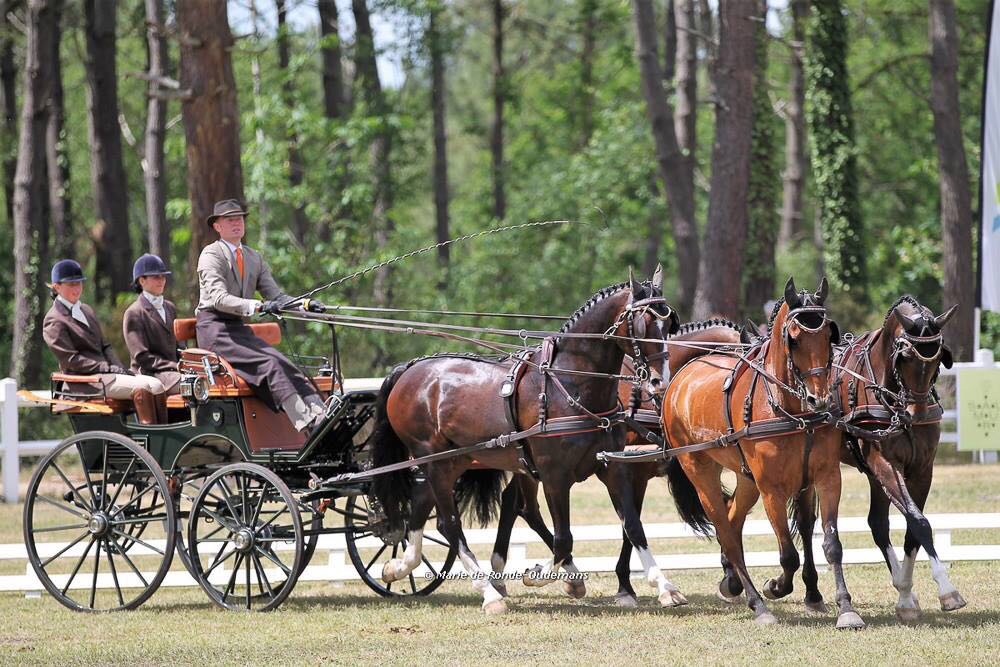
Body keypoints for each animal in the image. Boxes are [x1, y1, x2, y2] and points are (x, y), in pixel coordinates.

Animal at [370, 268, 688, 616]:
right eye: (643, 325)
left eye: (669, 325)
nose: (660, 381)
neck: (571, 385)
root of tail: (409, 370)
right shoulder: (554, 477)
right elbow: (564, 538)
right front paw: (538, 575)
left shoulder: (612, 467)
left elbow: (633, 526)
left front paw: (665, 587)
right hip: (435, 461)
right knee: (450, 524)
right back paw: (489, 593)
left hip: (451, 461)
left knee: (422, 511)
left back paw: (400, 567)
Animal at [660, 280, 864, 628]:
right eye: (793, 339)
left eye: (828, 335)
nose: (819, 399)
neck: (793, 410)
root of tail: (681, 378)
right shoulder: (772, 489)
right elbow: (788, 554)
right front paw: (776, 587)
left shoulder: (826, 478)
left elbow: (831, 544)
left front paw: (845, 608)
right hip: (701, 472)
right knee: (726, 530)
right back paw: (758, 603)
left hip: (746, 479)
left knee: (732, 518)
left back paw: (733, 583)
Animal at [752, 296, 964, 620]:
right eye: (904, 357)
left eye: (937, 359)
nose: (915, 415)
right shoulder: (884, 462)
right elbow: (919, 522)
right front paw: (946, 590)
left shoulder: (921, 469)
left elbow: (913, 528)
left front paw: (908, 593)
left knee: (871, 523)